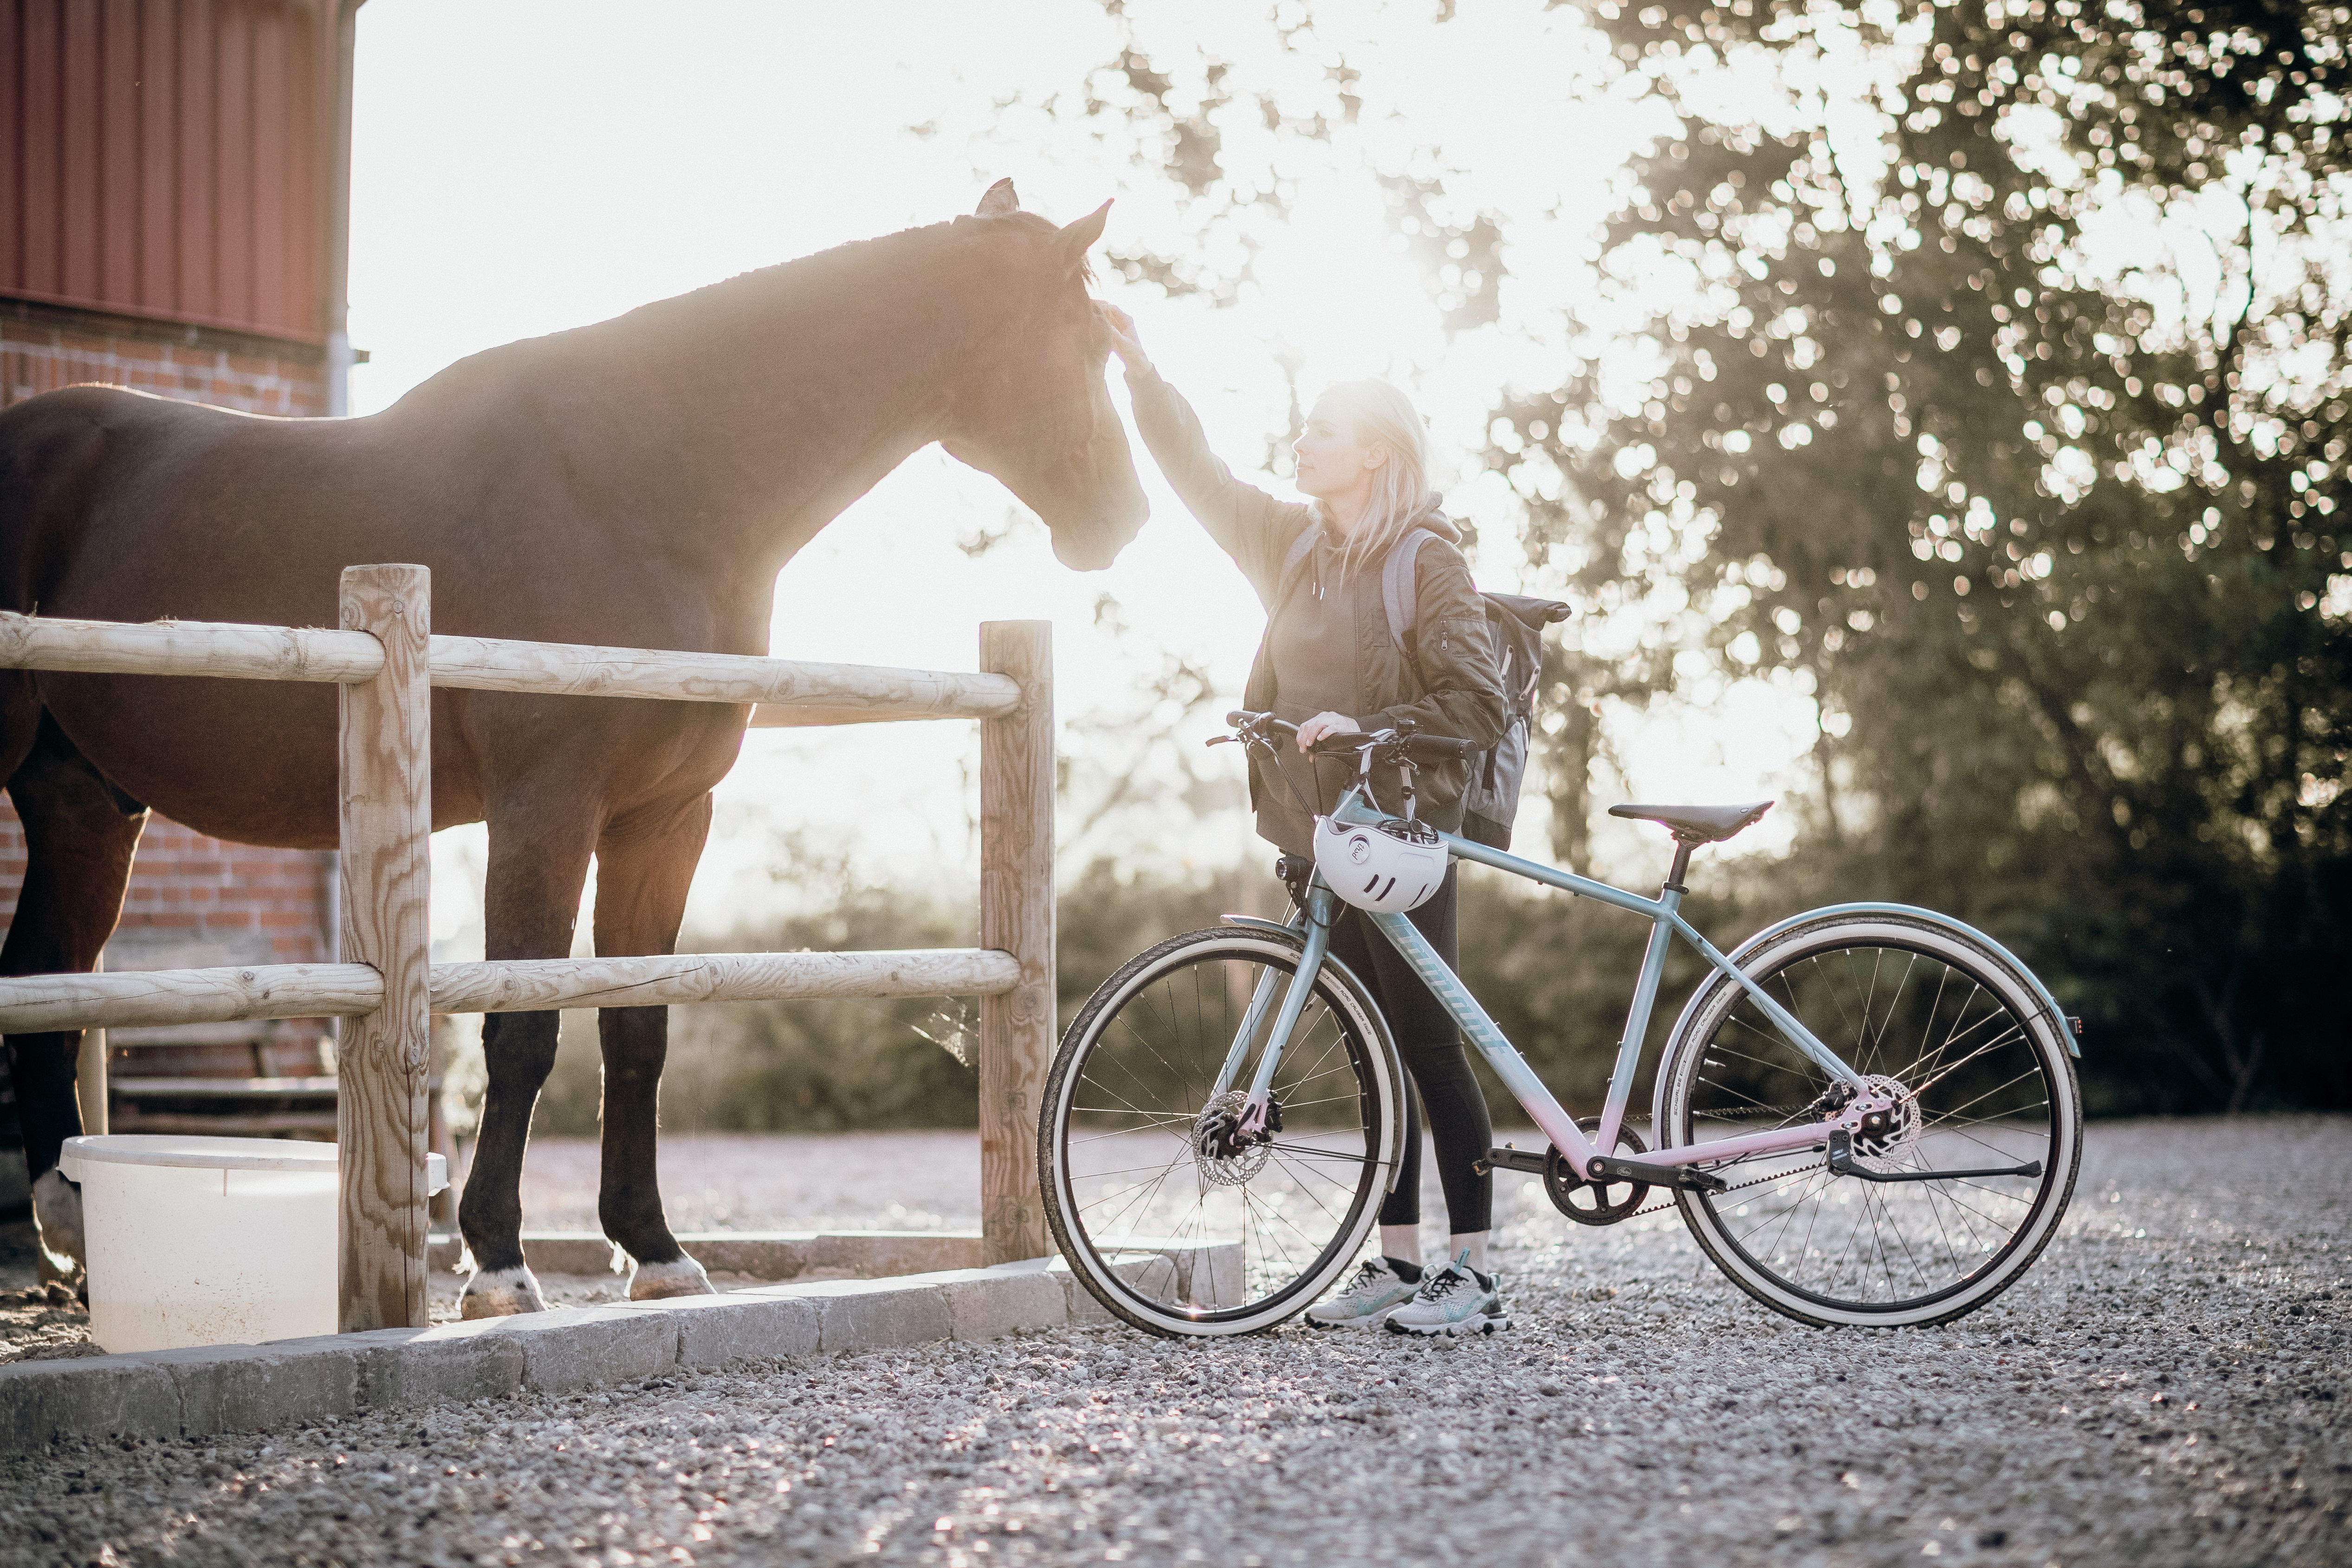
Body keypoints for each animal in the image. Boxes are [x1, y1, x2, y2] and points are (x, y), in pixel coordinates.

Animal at [0, 181, 1147, 1316]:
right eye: (1092, 341)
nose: (1127, 519)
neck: (640, 485)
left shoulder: (664, 819)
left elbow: (638, 1030)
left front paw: (654, 1249)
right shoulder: (546, 808)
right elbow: (523, 1027)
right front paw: (498, 1261)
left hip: (82, 804)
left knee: (44, 978)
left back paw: (65, 1233)